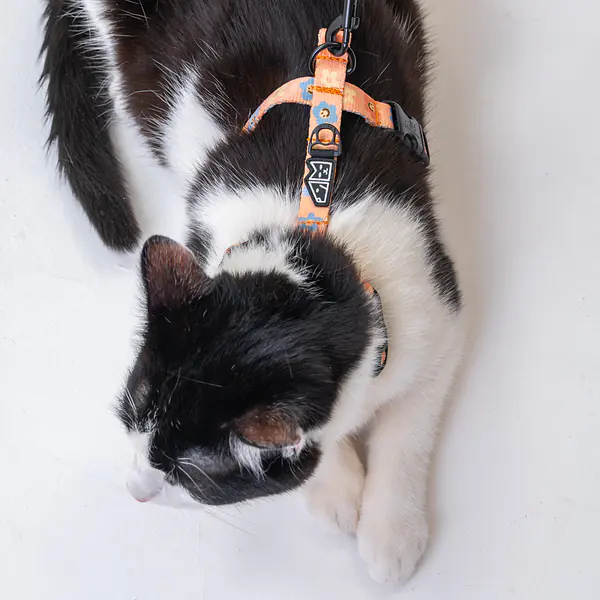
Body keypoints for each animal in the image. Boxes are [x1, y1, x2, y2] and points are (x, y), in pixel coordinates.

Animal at [41, 0, 465, 584]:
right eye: (130, 422)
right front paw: (336, 492)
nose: (135, 491)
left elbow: (409, 429)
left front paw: (390, 535)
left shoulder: (434, 307)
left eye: (190, 478)